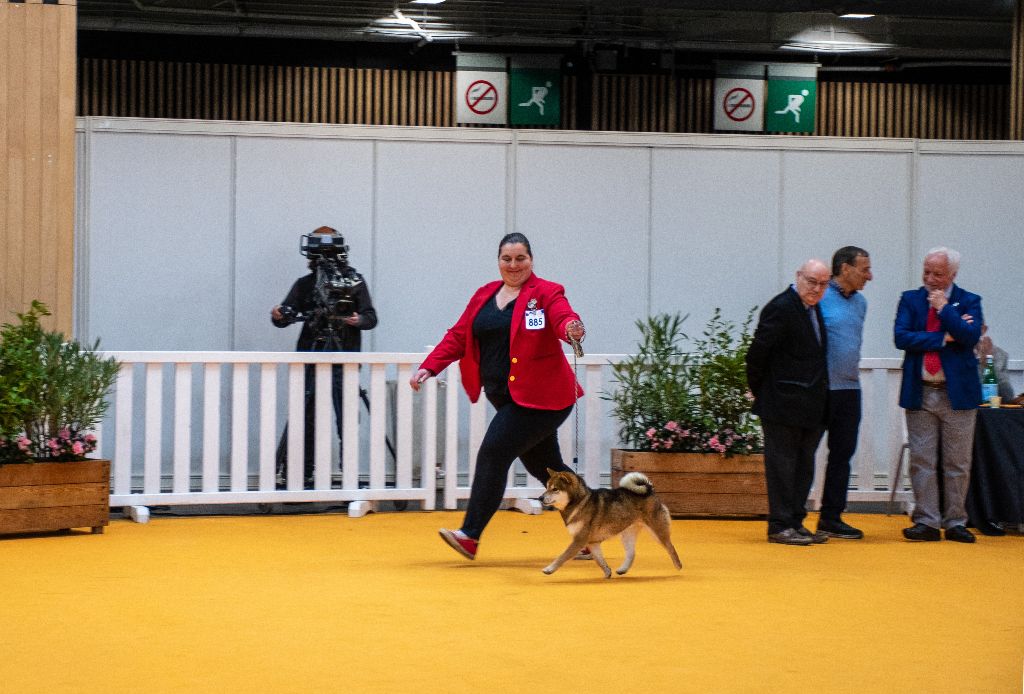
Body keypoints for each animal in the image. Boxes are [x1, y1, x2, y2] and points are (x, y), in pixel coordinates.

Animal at [540, 470, 684, 577]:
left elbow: (562, 556)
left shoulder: (579, 540)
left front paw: (549, 569)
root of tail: (650, 490)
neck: (579, 502)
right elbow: (599, 560)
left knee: (670, 547)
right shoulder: (592, 542)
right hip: (627, 534)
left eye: (555, 489)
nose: (540, 498)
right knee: (631, 553)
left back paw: (678, 566)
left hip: (657, 532)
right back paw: (622, 569)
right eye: (546, 487)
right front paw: (607, 572)